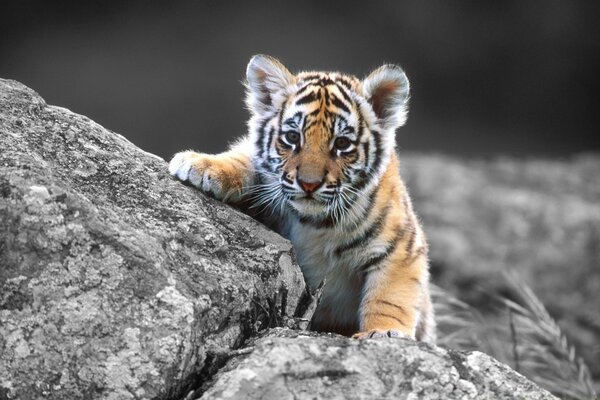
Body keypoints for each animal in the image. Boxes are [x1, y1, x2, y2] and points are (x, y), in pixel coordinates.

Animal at [169, 54, 436, 342]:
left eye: (342, 144)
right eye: (292, 137)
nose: (309, 183)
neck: (315, 223)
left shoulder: (402, 248)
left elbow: (389, 297)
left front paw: (383, 332)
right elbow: (245, 158)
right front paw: (200, 164)